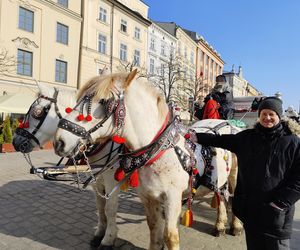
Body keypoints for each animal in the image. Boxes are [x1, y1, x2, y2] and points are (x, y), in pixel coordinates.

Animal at [11, 83, 122, 248]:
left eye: (37, 112)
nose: (15, 141)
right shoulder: (96, 178)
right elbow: (100, 206)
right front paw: (99, 233)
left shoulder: (111, 178)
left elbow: (110, 208)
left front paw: (108, 239)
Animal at [53, 69, 241, 249]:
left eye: (104, 101)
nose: (59, 142)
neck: (160, 152)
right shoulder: (148, 196)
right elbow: (154, 229)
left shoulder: (172, 197)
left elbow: (170, 236)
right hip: (219, 179)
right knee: (220, 195)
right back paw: (219, 225)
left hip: (234, 177)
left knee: (232, 198)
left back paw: (235, 227)